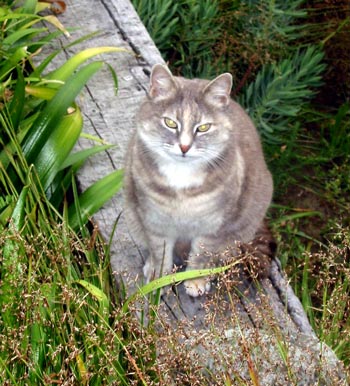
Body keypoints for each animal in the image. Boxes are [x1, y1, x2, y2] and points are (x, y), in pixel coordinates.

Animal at [123, 65, 274, 298]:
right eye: (170, 123)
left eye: (203, 127)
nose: (184, 147)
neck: (181, 177)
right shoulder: (154, 219)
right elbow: (160, 252)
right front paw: (159, 279)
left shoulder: (214, 226)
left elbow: (202, 255)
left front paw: (195, 279)